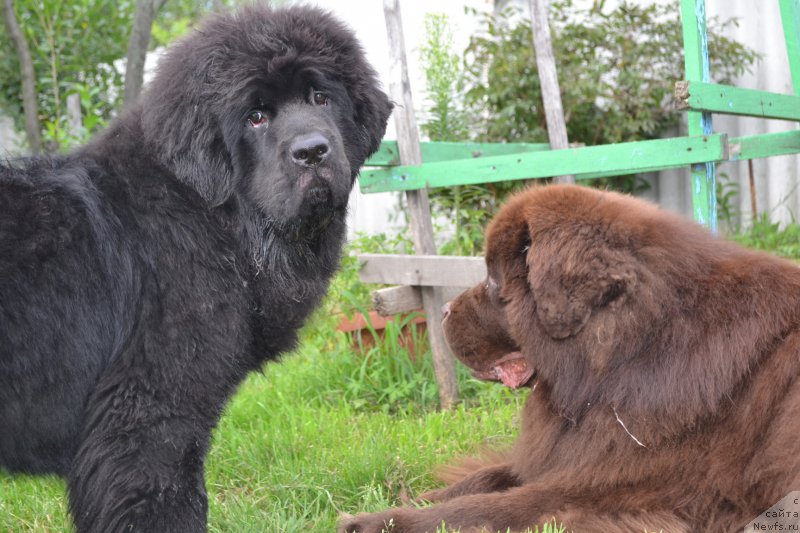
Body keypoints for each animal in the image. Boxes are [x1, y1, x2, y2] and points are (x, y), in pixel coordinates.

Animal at [340, 184, 800, 532]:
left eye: (493, 280)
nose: (445, 312)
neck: (634, 351)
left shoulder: (616, 487)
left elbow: (487, 508)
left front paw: (375, 521)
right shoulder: (569, 454)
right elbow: (490, 476)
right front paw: (419, 495)